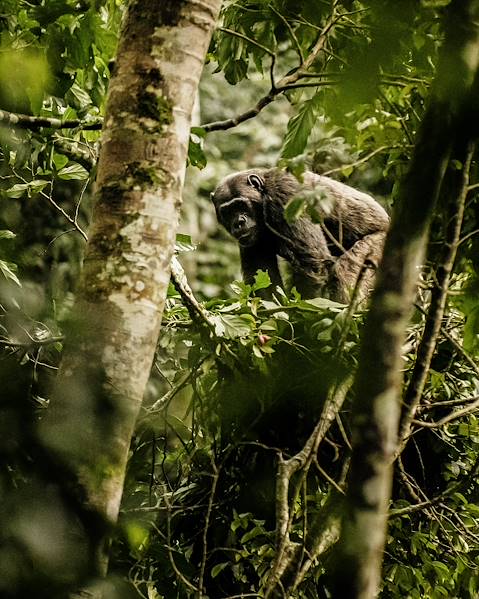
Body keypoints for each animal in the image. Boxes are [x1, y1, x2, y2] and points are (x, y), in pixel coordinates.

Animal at [213, 168, 390, 300]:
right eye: (227, 212)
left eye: (240, 205)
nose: (238, 222)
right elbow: (262, 276)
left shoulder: (286, 195)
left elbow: (311, 263)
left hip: (378, 244)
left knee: (346, 271)